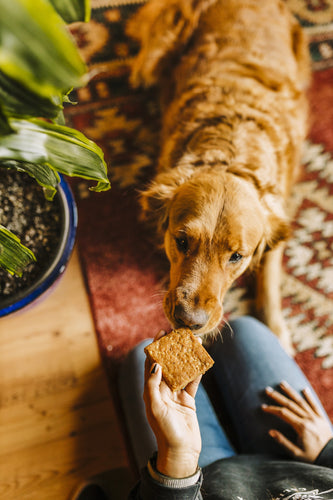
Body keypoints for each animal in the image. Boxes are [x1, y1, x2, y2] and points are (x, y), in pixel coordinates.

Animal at [127, 0, 308, 354]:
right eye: (181, 241)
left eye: (237, 256)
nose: (189, 321)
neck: (231, 150)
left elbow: (270, 282)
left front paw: (277, 331)